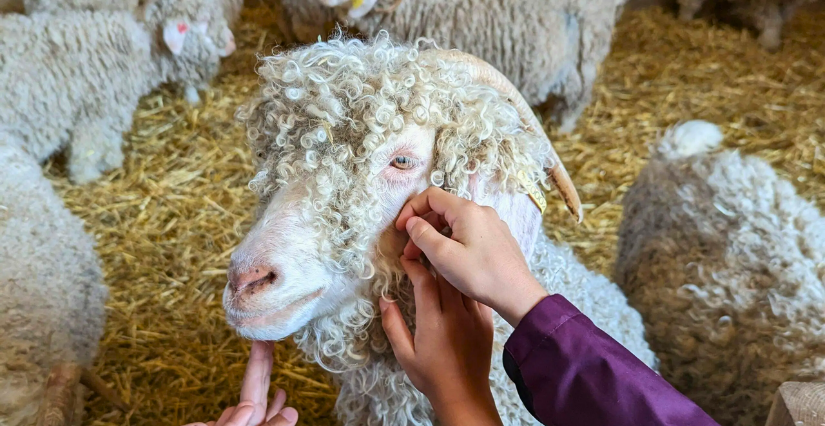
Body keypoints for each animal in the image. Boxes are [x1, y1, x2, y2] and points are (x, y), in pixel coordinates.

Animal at [0, 1, 237, 185]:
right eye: (204, 22)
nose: (232, 43)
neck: (145, 50)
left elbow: (109, 141)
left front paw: (111, 162)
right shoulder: (97, 113)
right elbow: (88, 149)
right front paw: (87, 177)